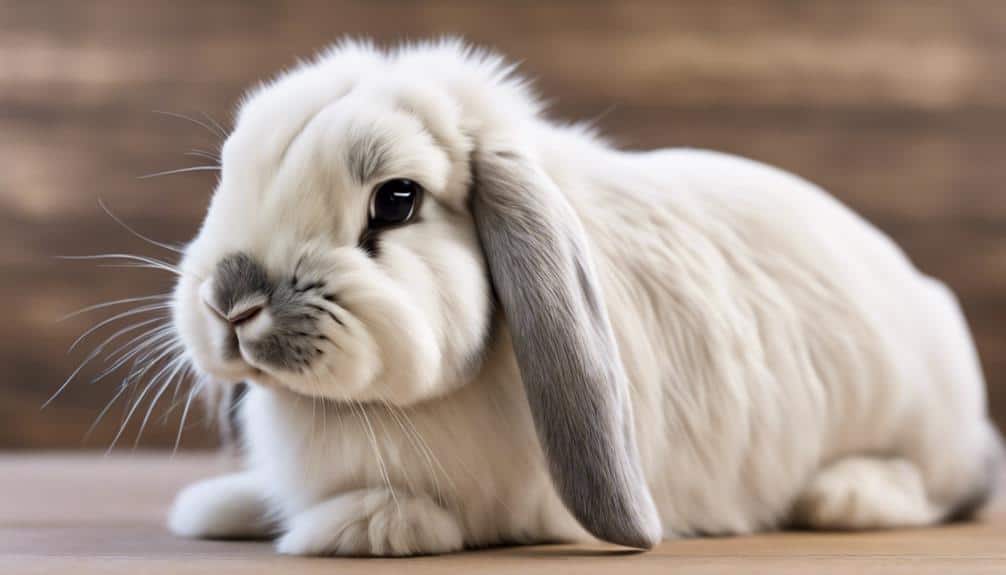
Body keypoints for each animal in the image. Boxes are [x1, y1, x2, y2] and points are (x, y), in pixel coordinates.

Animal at [166, 39, 1002, 556]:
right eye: (229, 168)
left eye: (396, 200)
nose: (230, 301)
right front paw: (219, 506)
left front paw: (357, 525)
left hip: (924, 429)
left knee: (950, 486)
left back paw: (847, 494)